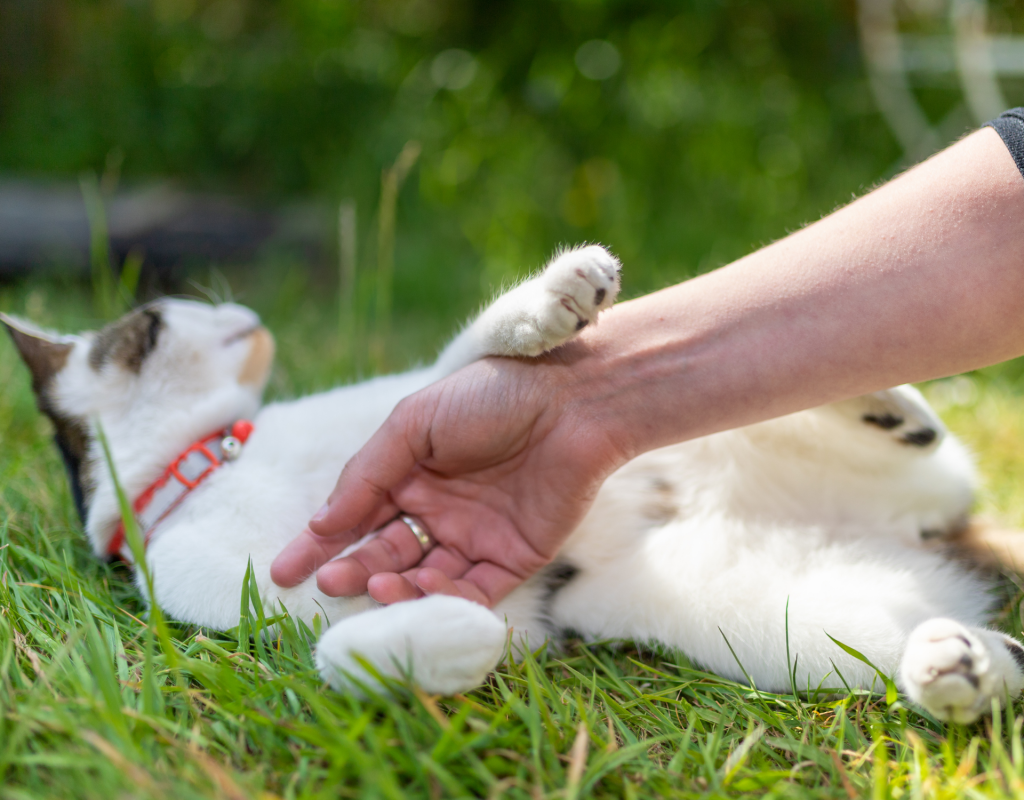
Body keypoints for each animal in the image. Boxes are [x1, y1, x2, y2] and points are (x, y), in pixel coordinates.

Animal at [2, 244, 1024, 725]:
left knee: (914, 448)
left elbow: (456, 366)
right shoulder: (278, 599)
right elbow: (336, 658)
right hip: (800, 623)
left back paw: (883, 403)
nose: (241, 307)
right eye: (151, 318)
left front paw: (547, 305)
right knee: (960, 636)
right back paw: (959, 667)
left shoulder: (395, 427)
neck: (215, 467)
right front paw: (448, 641)